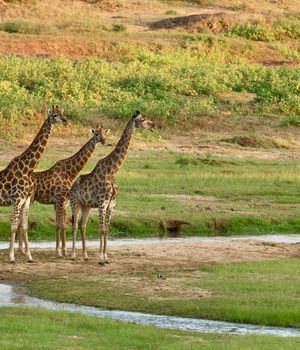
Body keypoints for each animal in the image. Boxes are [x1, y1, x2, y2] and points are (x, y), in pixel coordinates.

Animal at [0, 106, 67, 262]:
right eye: (55, 115)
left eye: (62, 113)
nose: (65, 121)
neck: (28, 168)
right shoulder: (16, 199)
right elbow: (13, 227)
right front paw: (11, 257)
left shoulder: (25, 200)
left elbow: (24, 227)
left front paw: (29, 257)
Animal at [17, 126, 109, 258]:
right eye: (96, 134)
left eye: (104, 133)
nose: (103, 140)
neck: (70, 172)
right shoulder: (59, 200)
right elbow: (58, 225)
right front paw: (58, 251)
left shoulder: (64, 201)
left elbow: (64, 225)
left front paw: (65, 250)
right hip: (28, 199)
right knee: (20, 220)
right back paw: (22, 250)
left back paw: (21, 250)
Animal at [70, 110, 155, 264]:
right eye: (143, 119)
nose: (153, 125)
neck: (112, 172)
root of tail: (71, 187)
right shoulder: (102, 203)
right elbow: (102, 229)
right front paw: (101, 258)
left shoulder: (111, 204)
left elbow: (107, 230)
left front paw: (106, 257)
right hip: (75, 202)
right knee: (74, 225)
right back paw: (73, 255)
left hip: (86, 206)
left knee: (82, 225)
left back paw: (85, 255)